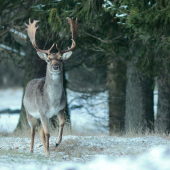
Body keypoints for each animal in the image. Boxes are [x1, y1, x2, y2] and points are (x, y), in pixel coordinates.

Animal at [23, 17, 78, 155]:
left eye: (61, 59)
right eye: (48, 60)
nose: (55, 66)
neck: (52, 102)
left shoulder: (60, 109)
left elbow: (62, 124)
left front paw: (56, 143)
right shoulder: (42, 112)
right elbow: (47, 133)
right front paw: (48, 153)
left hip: (44, 117)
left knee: (40, 130)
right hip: (29, 112)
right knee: (33, 129)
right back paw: (31, 150)